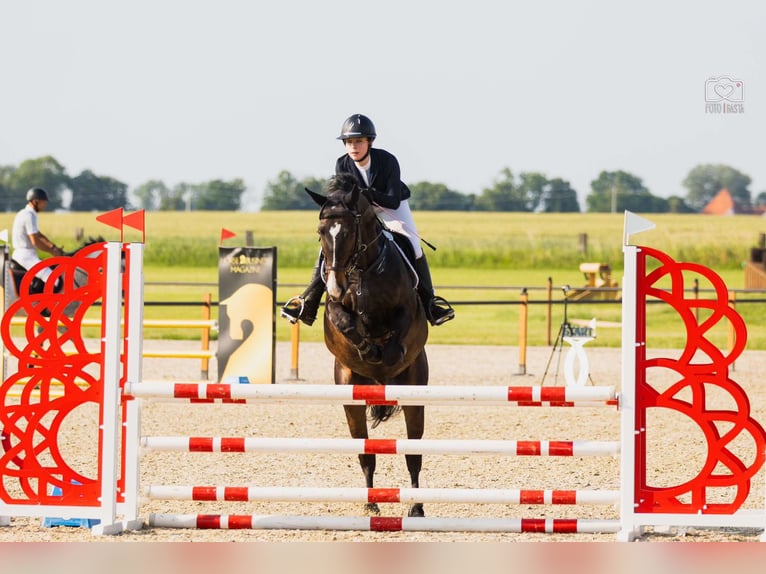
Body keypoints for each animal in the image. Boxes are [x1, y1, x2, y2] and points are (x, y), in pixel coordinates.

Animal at [308, 173, 432, 520]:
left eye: (349, 231)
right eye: (321, 232)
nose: (336, 285)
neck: (362, 270)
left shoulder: (407, 310)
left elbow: (396, 331)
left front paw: (383, 353)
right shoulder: (335, 309)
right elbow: (346, 322)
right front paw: (368, 349)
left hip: (415, 391)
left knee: (413, 454)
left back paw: (416, 507)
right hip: (350, 396)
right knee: (365, 452)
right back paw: (371, 502)